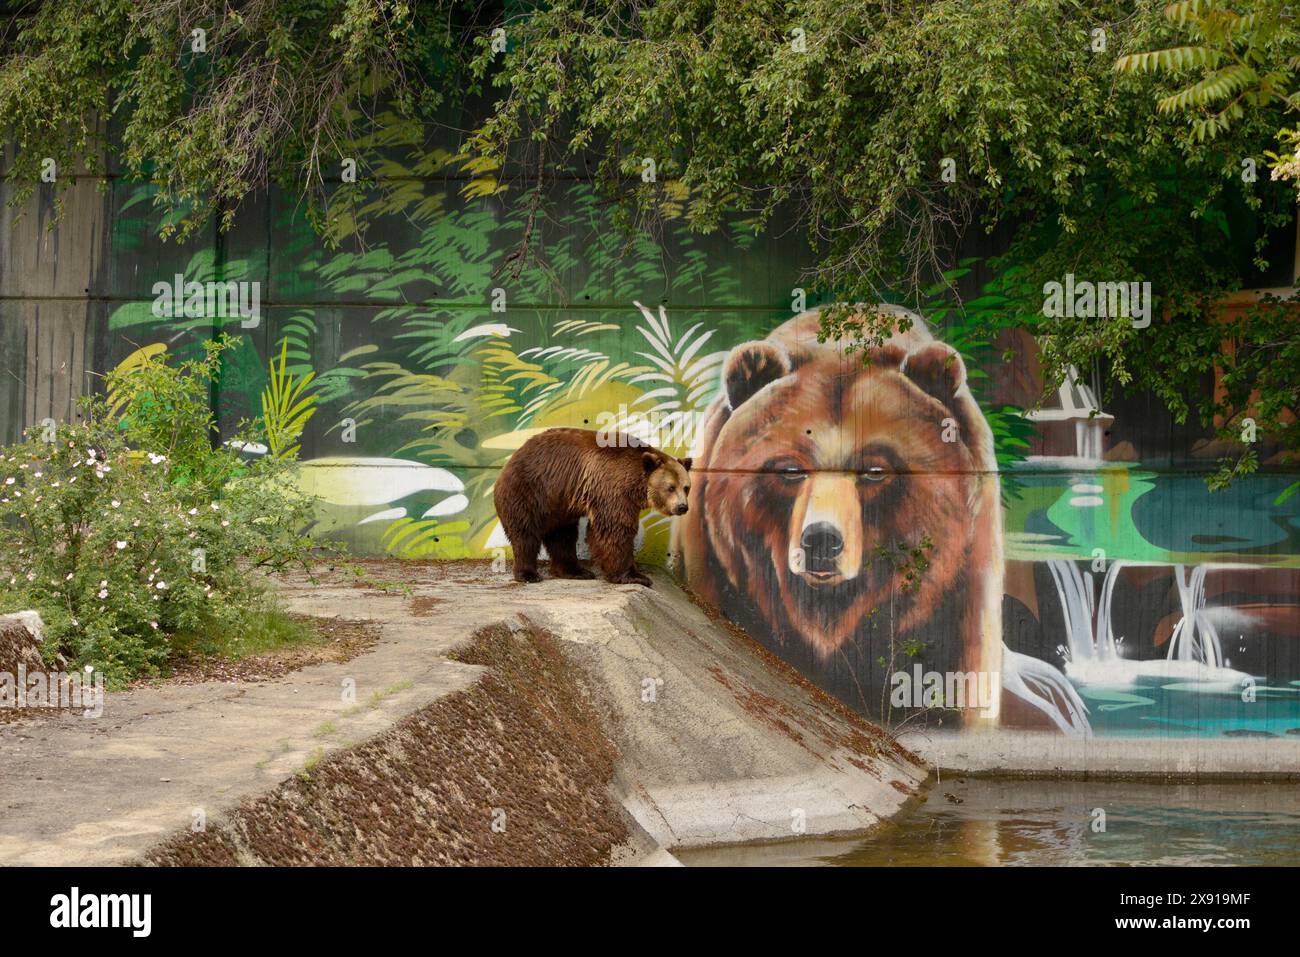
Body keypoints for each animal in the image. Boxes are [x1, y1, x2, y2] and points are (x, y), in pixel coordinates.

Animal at [491, 429, 691, 590]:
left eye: (686, 487)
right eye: (670, 487)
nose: (682, 507)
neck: (635, 485)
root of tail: (510, 460)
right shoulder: (611, 488)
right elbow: (615, 529)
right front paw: (636, 576)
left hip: (559, 504)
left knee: (562, 535)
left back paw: (575, 571)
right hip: (529, 490)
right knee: (525, 533)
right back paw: (528, 574)